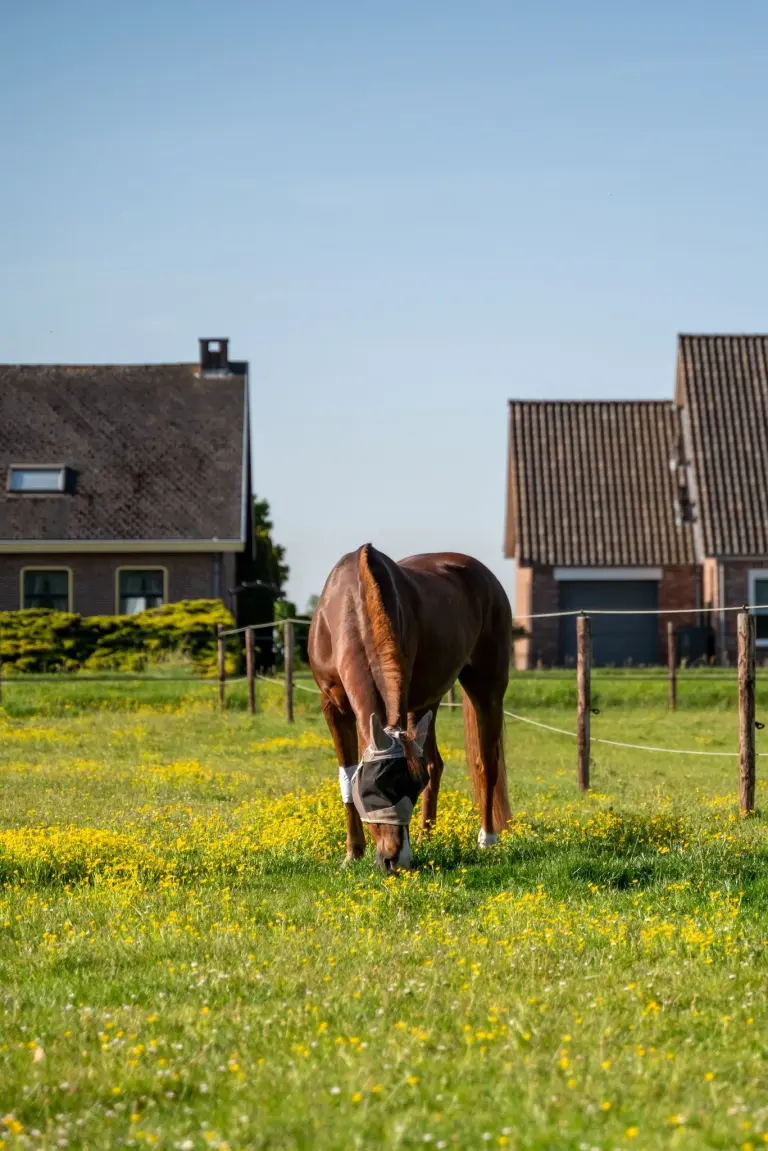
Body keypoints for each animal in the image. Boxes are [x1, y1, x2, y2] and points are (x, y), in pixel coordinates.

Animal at [308, 543, 512, 870]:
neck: (351, 598)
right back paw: (425, 835)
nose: (397, 860)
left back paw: (487, 838)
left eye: (412, 789)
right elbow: (346, 775)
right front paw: (353, 852)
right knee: (434, 763)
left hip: (487, 688)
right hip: (428, 701)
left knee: (487, 763)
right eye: (374, 790)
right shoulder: (333, 708)